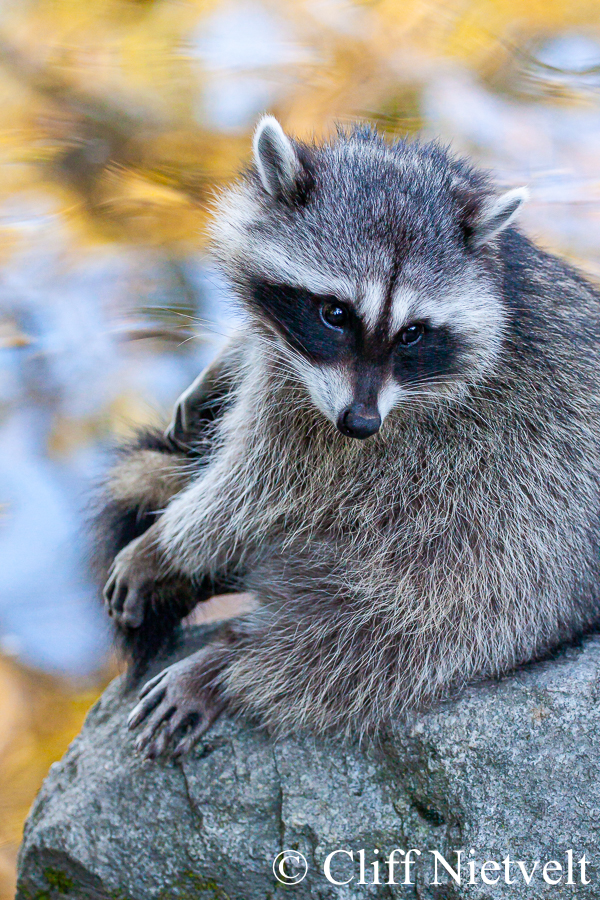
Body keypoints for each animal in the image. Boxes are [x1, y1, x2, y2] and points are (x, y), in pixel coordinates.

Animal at [101, 116, 600, 759]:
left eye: (413, 333)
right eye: (334, 312)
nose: (361, 423)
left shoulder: (384, 441)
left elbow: (259, 492)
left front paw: (164, 547)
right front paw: (225, 359)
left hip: (518, 567)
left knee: (372, 641)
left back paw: (231, 666)